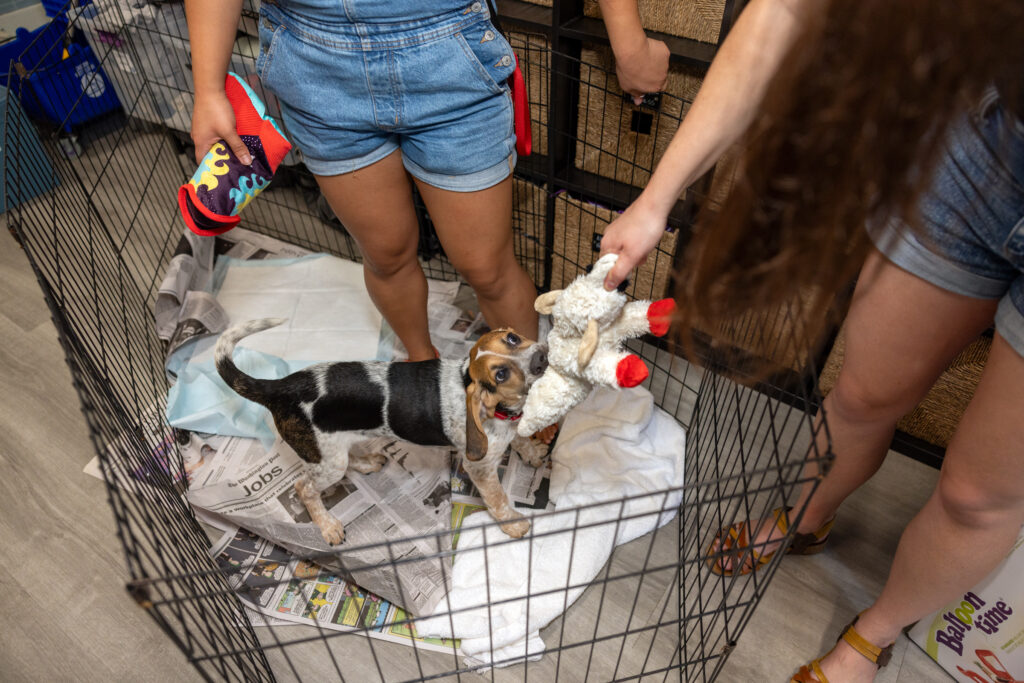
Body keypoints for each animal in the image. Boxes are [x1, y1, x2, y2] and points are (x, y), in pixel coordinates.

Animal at [212, 319, 548, 544]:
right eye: (500, 374)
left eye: (513, 338)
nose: (541, 357)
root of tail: (281, 386)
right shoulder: (480, 468)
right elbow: (498, 499)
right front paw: (513, 525)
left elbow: (520, 439)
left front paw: (533, 452)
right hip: (327, 462)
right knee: (303, 488)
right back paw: (328, 525)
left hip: (334, 451)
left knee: (346, 460)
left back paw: (368, 463)